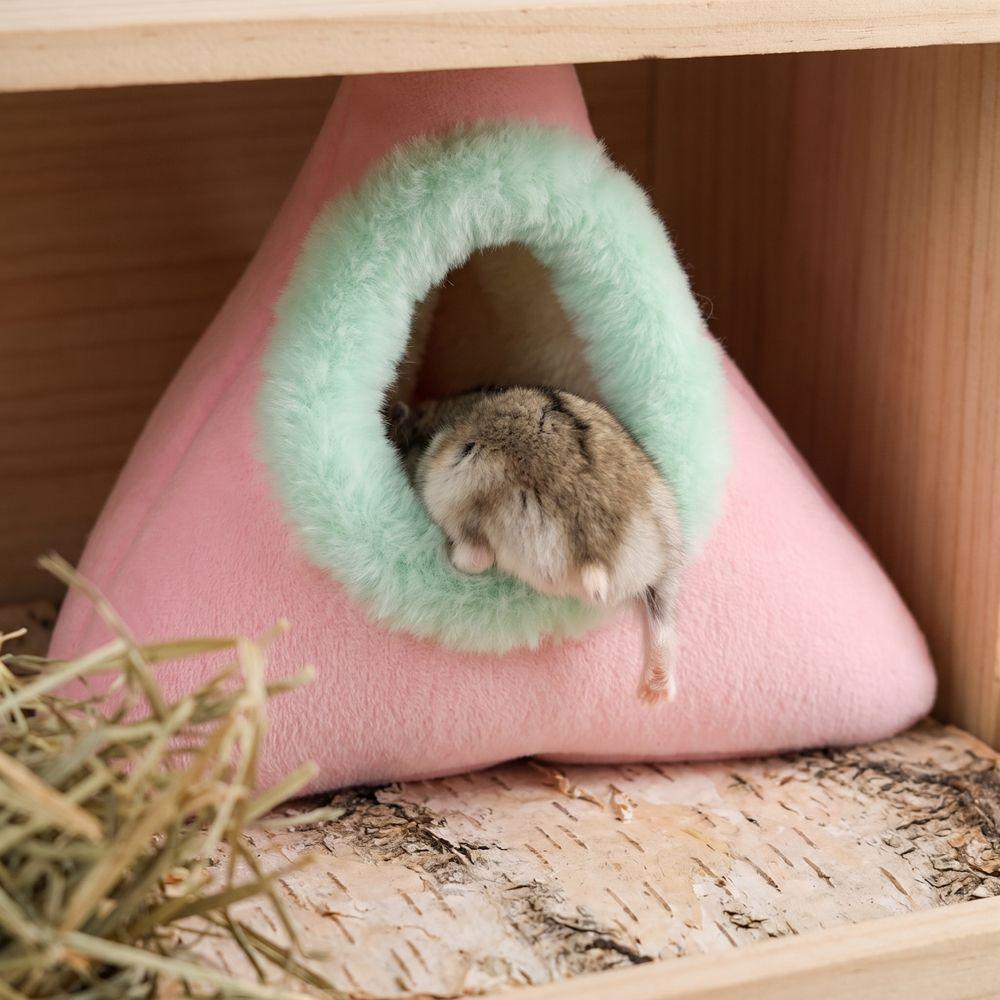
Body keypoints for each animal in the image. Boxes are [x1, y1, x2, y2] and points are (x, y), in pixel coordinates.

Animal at [389, 385, 684, 703]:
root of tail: (600, 550)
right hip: (666, 536)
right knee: (662, 620)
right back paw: (653, 694)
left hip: (454, 483)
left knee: (477, 556)